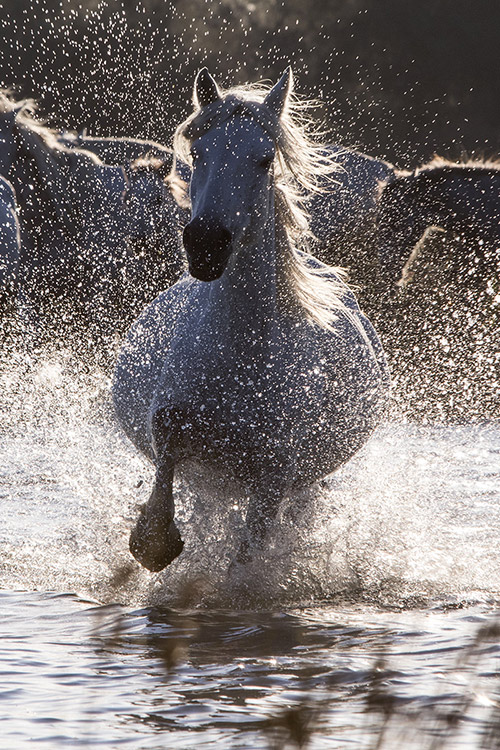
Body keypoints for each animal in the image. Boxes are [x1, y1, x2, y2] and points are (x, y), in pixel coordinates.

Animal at [114, 72, 390, 576]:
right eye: (198, 154)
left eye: (264, 159)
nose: (206, 244)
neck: (238, 354)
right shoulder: (170, 433)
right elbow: (154, 538)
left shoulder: (273, 479)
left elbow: (244, 565)